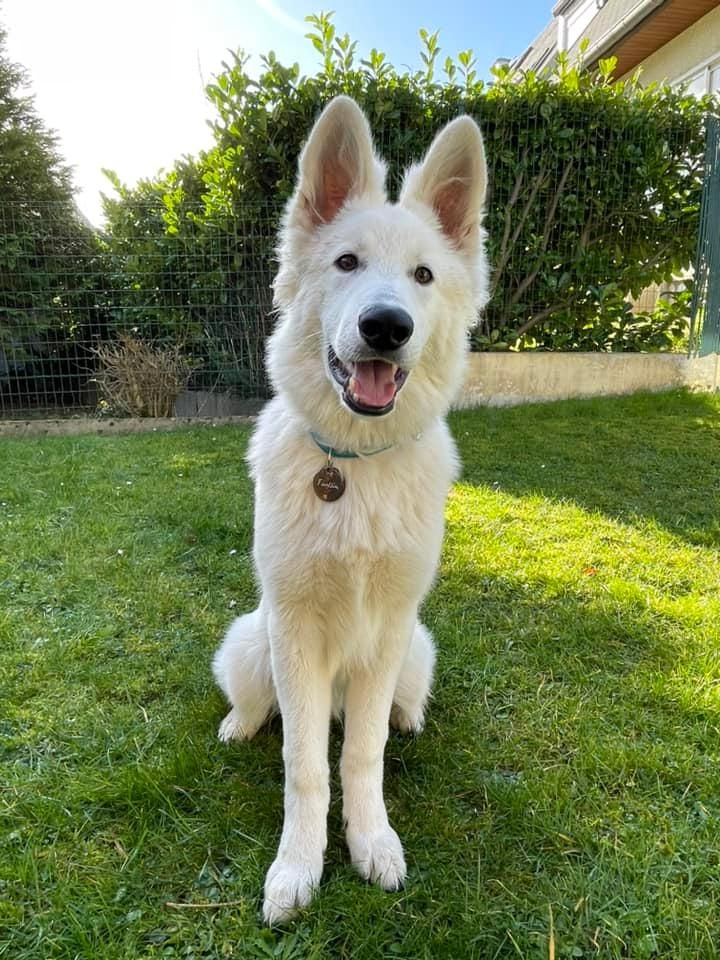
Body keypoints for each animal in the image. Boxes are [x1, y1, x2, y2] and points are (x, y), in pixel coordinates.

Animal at [211, 95, 486, 924]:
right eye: (346, 263)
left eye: (424, 275)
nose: (386, 327)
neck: (354, 468)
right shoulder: (295, 629)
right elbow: (304, 763)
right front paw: (297, 867)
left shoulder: (390, 629)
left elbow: (360, 754)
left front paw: (372, 842)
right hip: (251, 638)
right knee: (263, 709)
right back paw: (239, 724)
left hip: (417, 650)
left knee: (385, 717)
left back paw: (408, 717)